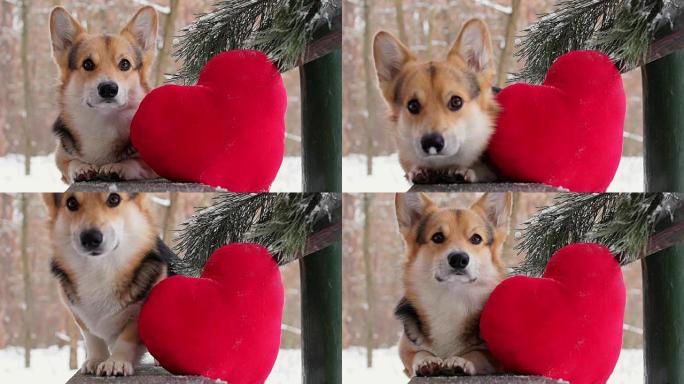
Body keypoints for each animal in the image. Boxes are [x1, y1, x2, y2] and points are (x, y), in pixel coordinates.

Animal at [43, 194, 175, 376]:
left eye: (114, 199)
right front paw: (96, 360)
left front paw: (115, 362)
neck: (100, 268)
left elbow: (126, 338)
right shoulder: (77, 313)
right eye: (71, 203)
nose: (90, 238)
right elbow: (92, 338)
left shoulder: (139, 313)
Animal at [49, 6, 159, 184]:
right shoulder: (62, 160)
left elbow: (135, 162)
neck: (104, 121)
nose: (108, 88)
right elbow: (71, 163)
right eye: (87, 64)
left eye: (125, 64)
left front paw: (119, 166)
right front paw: (81, 167)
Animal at [392, 190, 510, 376]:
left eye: (476, 239)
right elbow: (419, 353)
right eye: (438, 237)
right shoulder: (406, 350)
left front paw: (461, 361)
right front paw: (426, 361)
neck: (452, 298)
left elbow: (477, 354)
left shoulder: (494, 357)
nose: (459, 259)